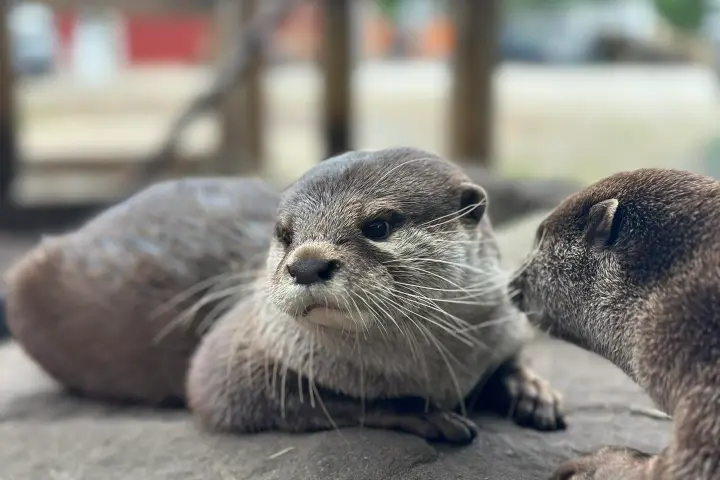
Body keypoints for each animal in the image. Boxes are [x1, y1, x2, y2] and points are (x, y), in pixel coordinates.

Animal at [5, 147, 565, 443]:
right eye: (284, 234)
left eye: (379, 225)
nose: (306, 263)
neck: (439, 368)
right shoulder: (229, 359)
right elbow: (347, 402)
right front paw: (425, 413)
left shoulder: (502, 321)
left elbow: (513, 358)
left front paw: (534, 391)